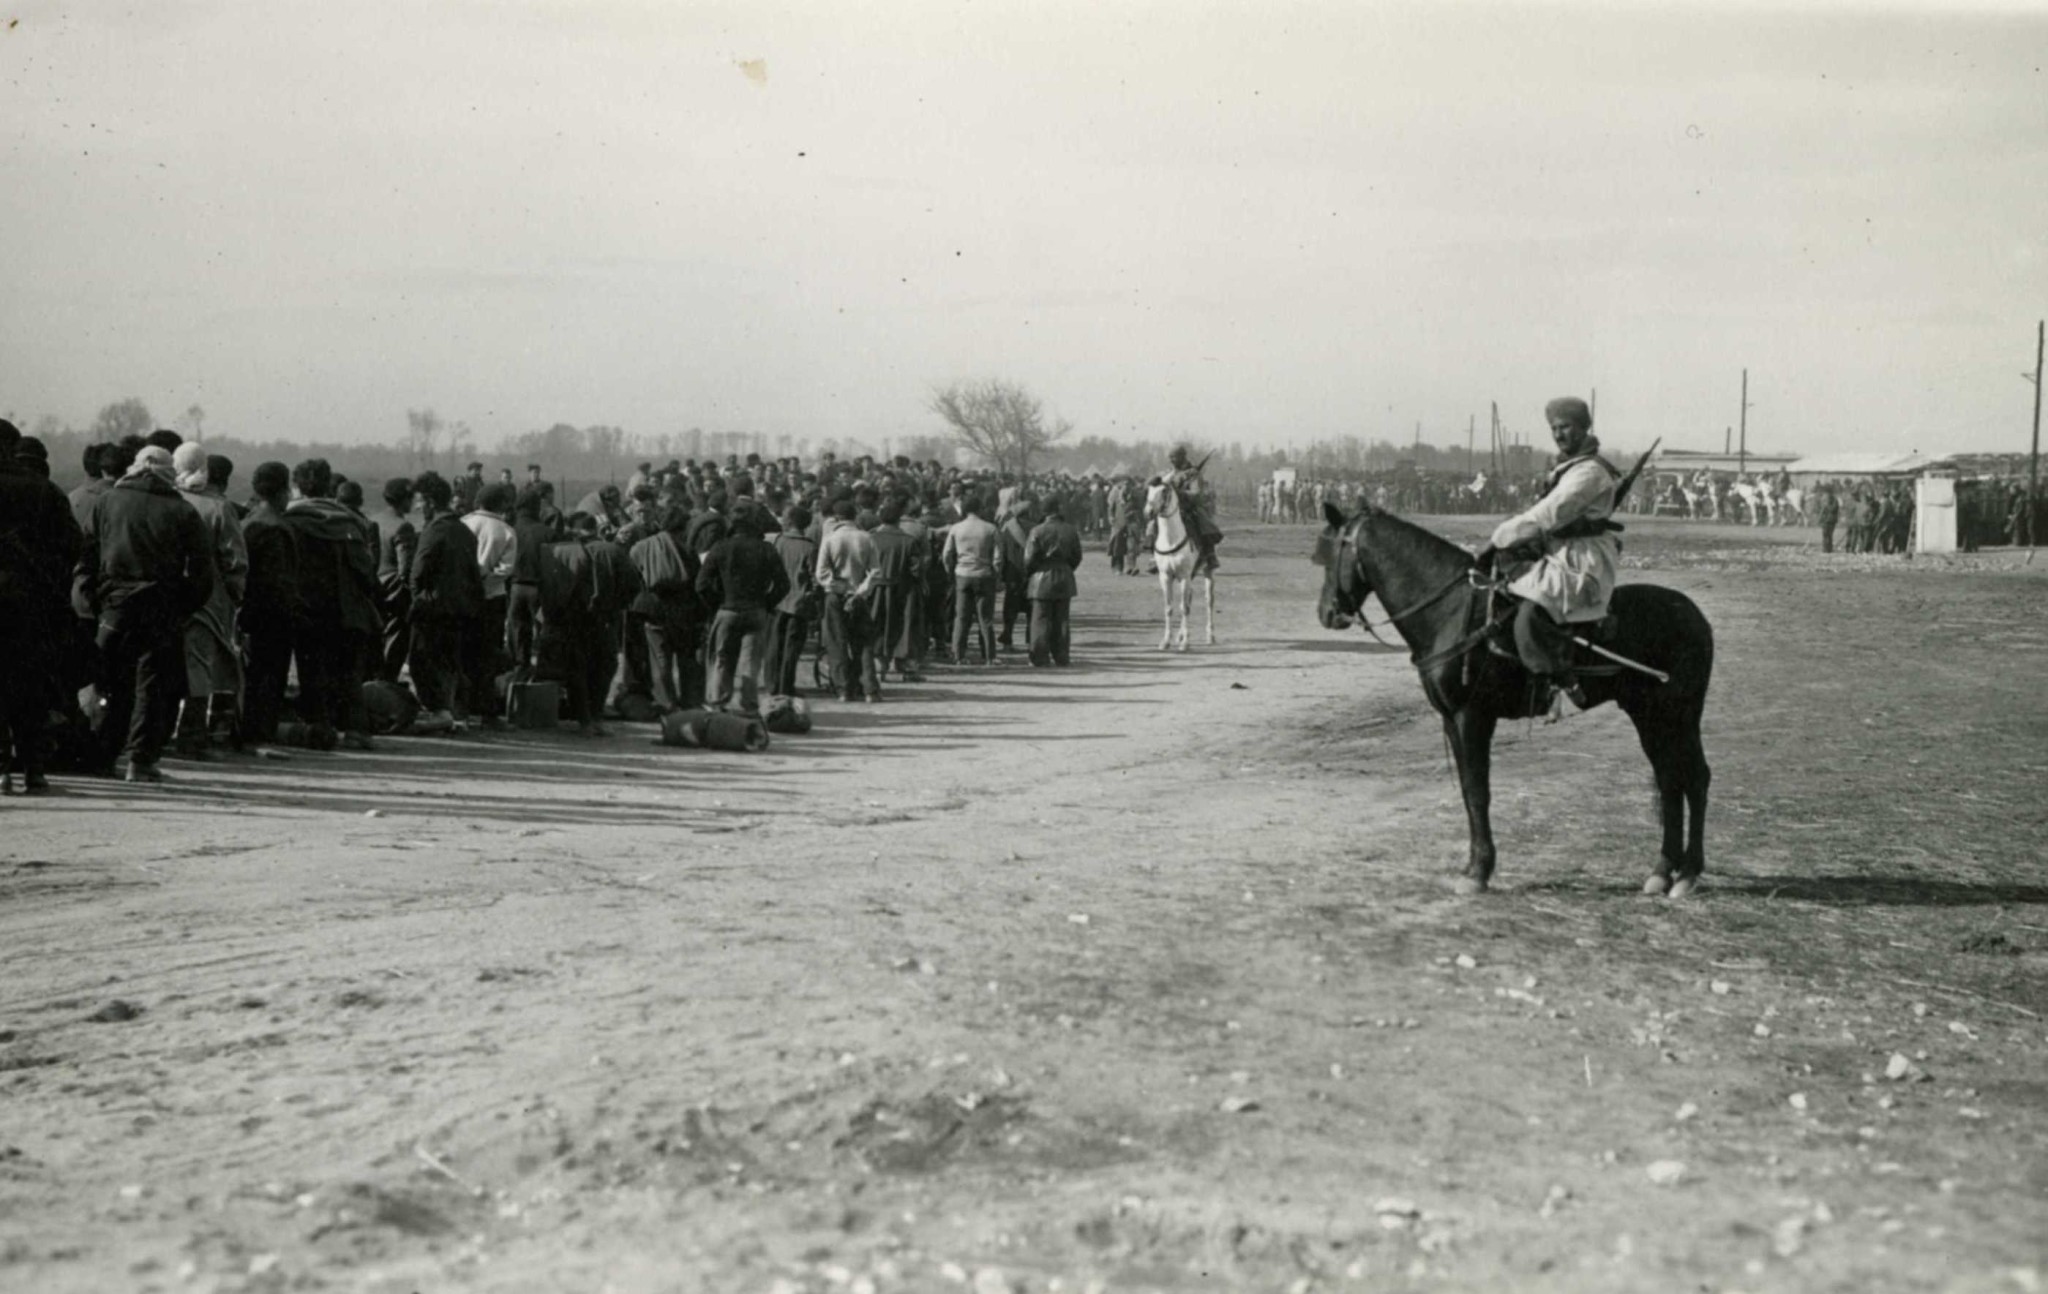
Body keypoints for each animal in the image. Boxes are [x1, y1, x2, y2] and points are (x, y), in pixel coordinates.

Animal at [1138, 481, 1212, 651]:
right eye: (1148, 490)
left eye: (1164, 491)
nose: (1148, 512)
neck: (1171, 538)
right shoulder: (1166, 577)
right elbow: (1169, 607)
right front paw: (1166, 641)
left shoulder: (1184, 576)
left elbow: (1184, 608)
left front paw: (1185, 643)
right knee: (1189, 600)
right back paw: (1181, 635)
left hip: (1207, 571)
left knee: (1208, 601)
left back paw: (1210, 635)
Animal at [1310, 499, 1712, 892]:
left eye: (1330, 552)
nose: (1327, 613)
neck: (1450, 612)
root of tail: (1694, 614)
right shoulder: (1452, 720)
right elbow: (1468, 791)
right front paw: (1473, 865)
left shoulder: (1472, 716)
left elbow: (1477, 791)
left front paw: (1479, 872)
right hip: (1651, 717)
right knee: (1670, 778)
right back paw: (1663, 870)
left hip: (1675, 714)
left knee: (1693, 778)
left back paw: (1687, 873)